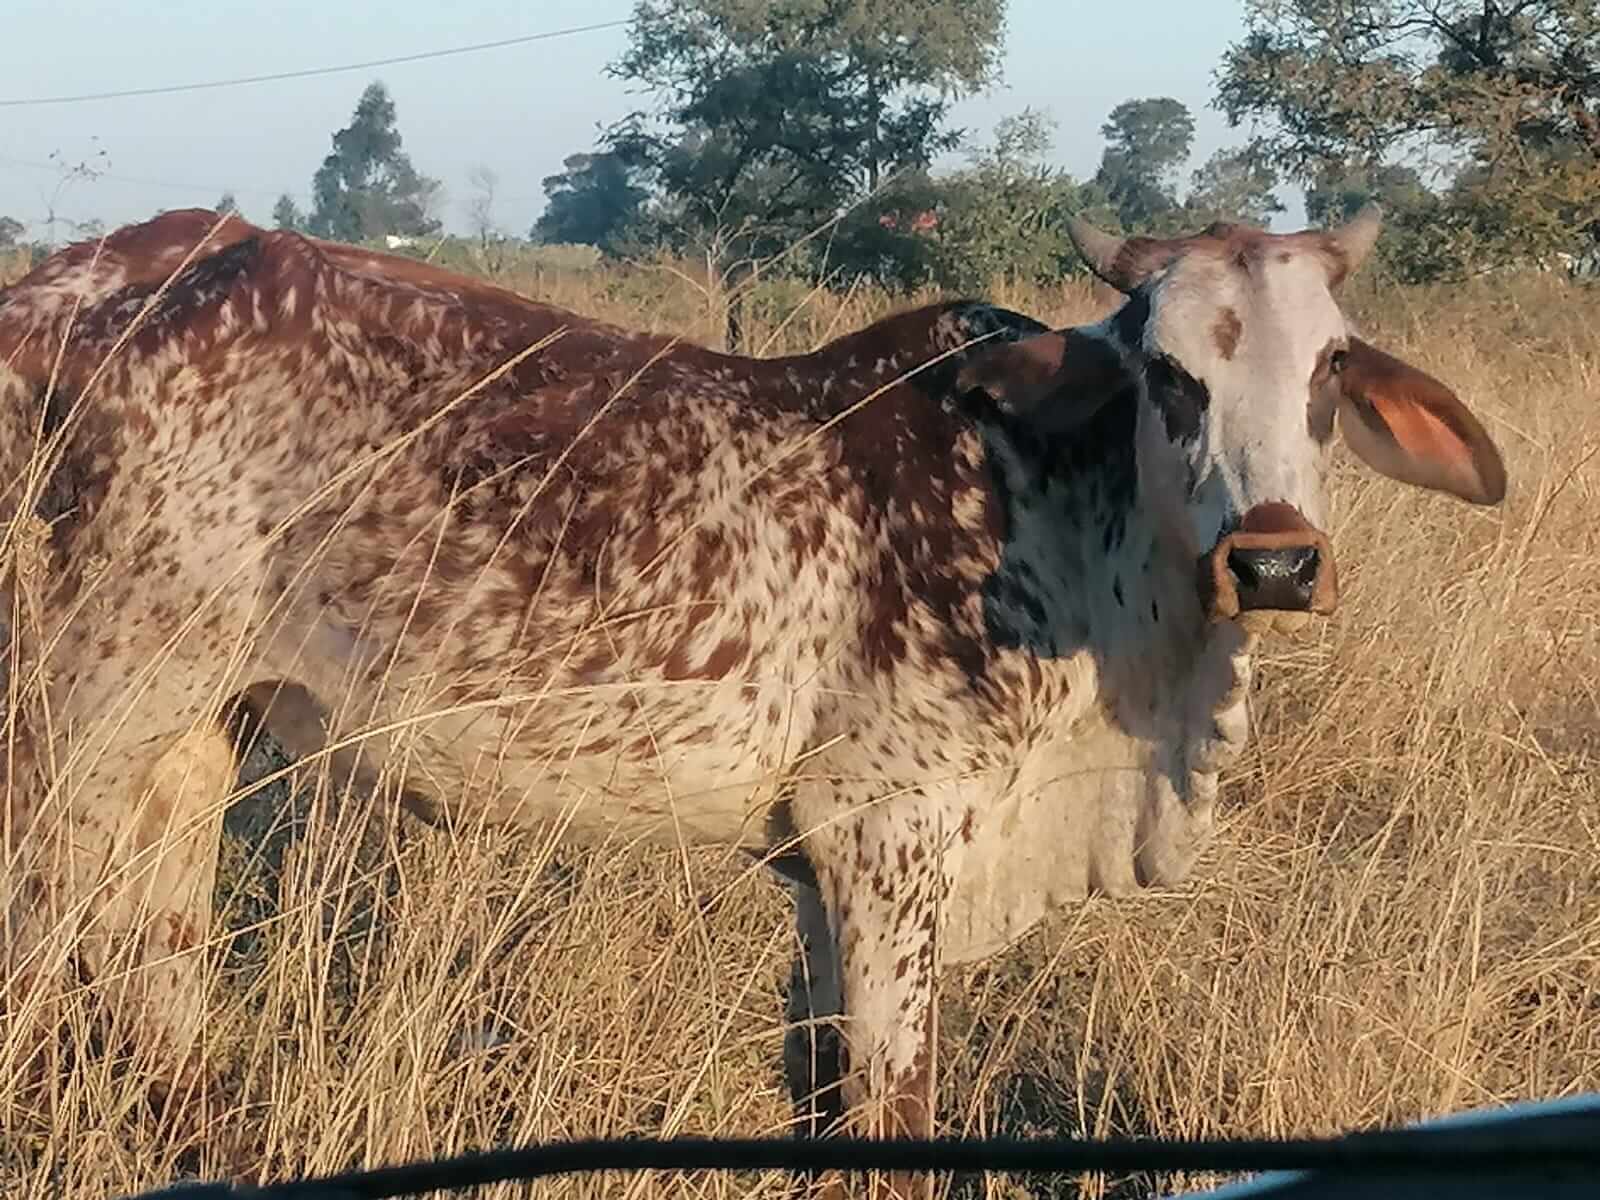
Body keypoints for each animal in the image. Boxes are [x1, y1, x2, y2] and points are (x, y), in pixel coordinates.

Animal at [0, 205, 1503, 1188]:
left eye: (1330, 366)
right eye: (1167, 371)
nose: (1275, 559)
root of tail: (57, 290)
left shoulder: (830, 870)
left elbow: (823, 1100)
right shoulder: (890, 832)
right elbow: (892, 1112)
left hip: (187, 740)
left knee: (152, 965)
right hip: (75, 723)